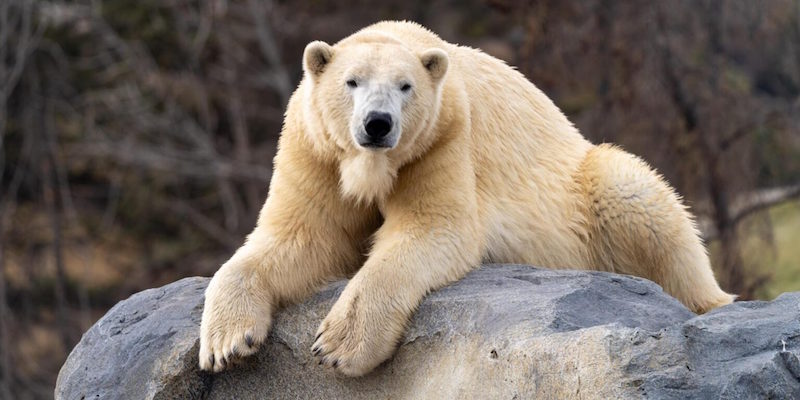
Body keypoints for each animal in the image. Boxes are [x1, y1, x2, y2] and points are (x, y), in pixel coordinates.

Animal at [197, 21, 736, 376]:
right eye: (351, 82)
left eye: (405, 86)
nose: (377, 124)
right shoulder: (315, 150)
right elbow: (300, 237)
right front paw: (226, 342)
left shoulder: (442, 140)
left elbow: (433, 230)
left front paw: (339, 344)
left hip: (587, 181)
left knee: (636, 196)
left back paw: (712, 303)